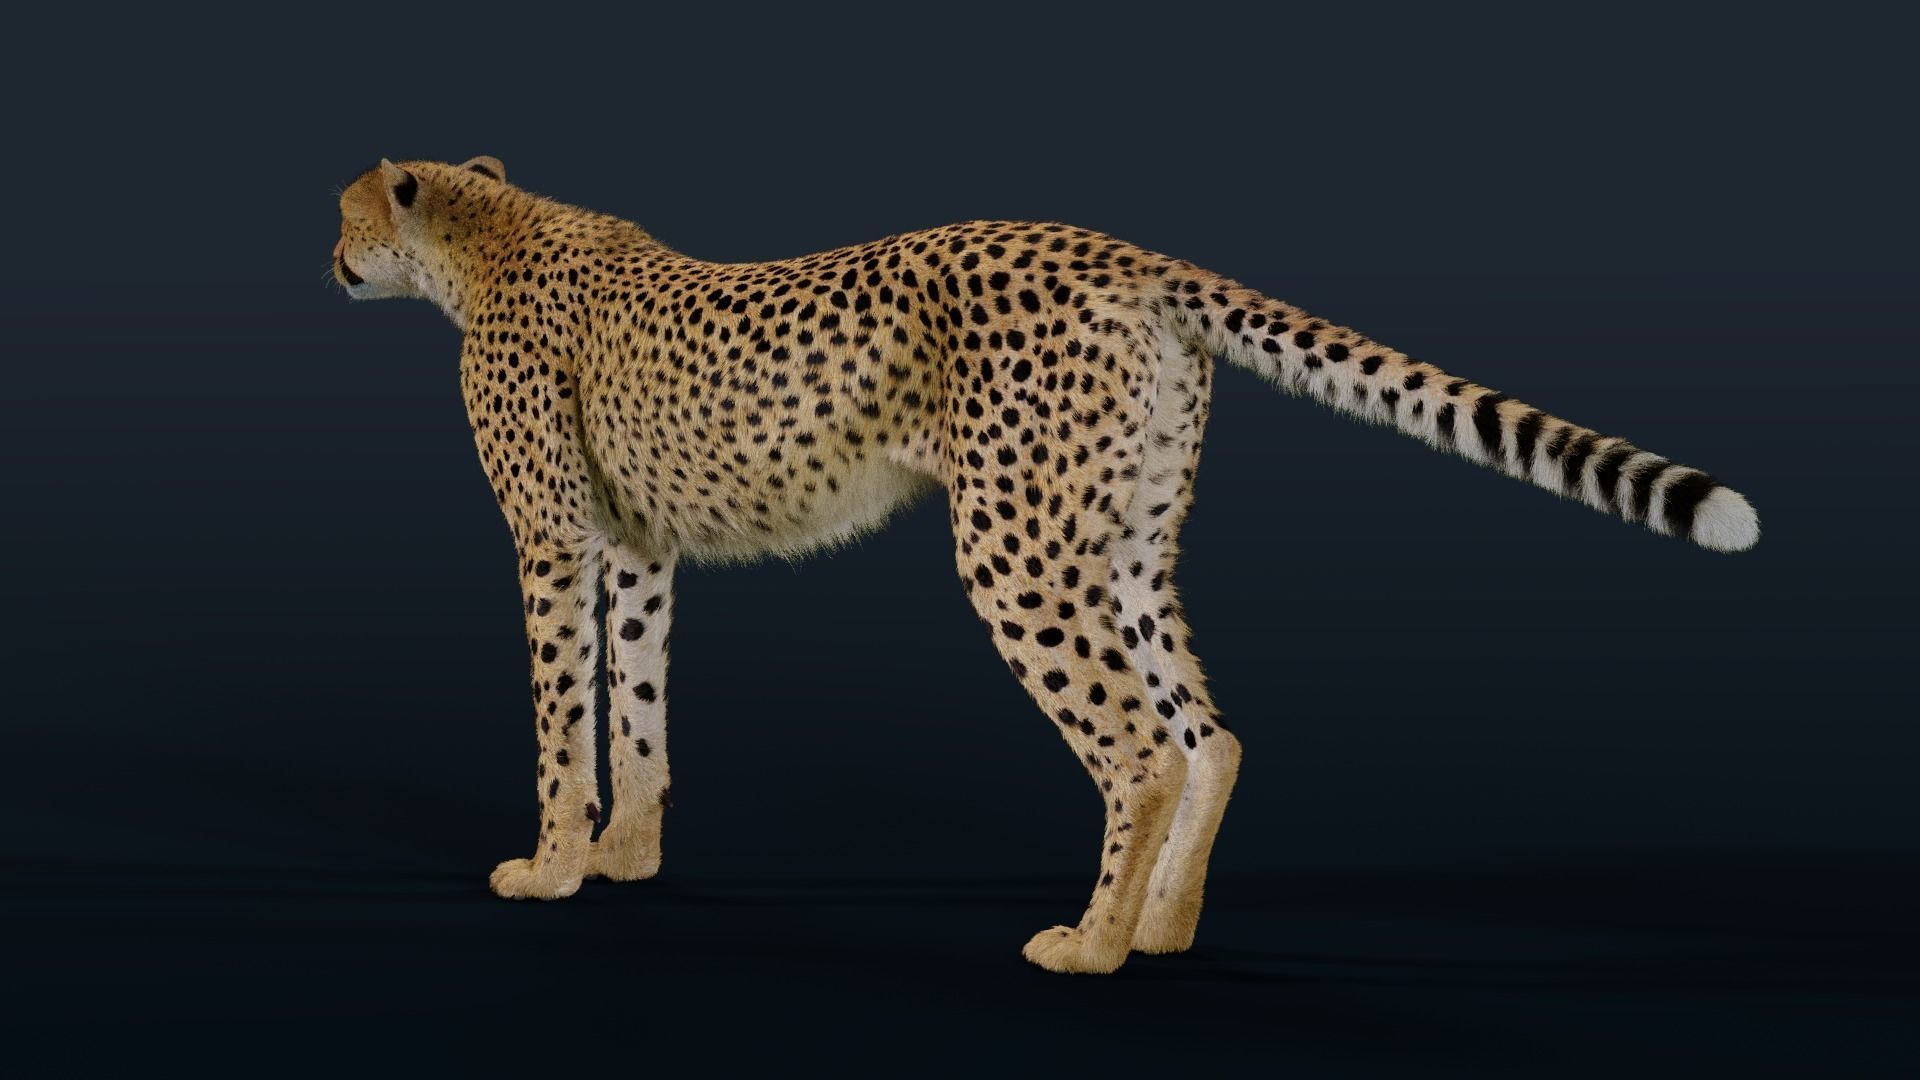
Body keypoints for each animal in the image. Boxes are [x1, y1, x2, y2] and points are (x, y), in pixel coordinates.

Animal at [332, 156, 1759, 974]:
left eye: (344, 212)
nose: (332, 257)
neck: (487, 233)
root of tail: (1122, 250)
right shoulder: (637, 547)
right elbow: (634, 709)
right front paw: (625, 860)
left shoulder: (551, 540)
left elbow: (560, 722)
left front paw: (551, 869)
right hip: (1114, 540)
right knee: (1208, 734)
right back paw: (1167, 931)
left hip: (1016, 547)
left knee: (1138, 747)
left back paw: (1093, 948)